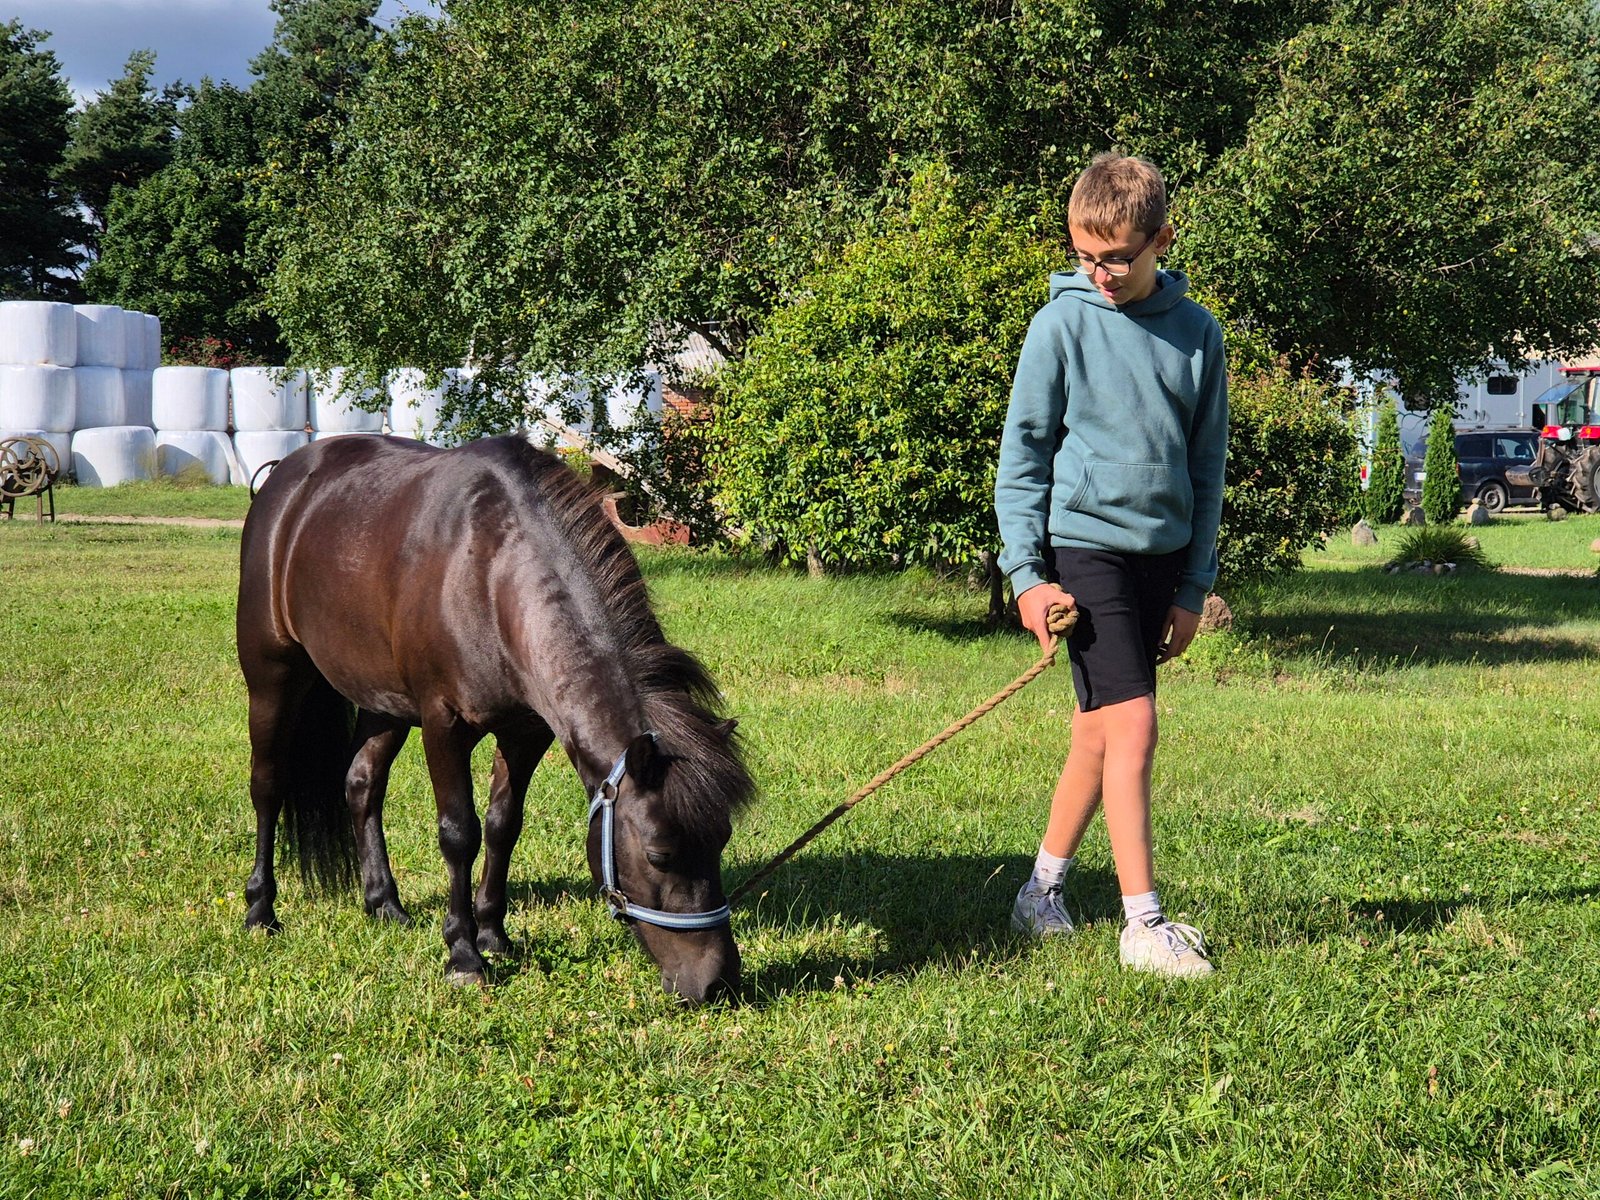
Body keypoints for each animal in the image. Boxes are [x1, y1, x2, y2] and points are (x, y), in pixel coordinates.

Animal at [235, 434, 753, 1004]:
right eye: (660, 854)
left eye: (722, 839)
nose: (717, 982)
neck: (490, 572)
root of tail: (283, 478)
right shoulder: (443, 725)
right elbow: (459, 833)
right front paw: (463, 953)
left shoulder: (525, 733)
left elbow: (503, 826)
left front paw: (493, 934)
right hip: (273, 677)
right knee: (268, 786)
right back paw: (261, 910)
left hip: (382, 702)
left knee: (361, 784)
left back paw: (384, 904)